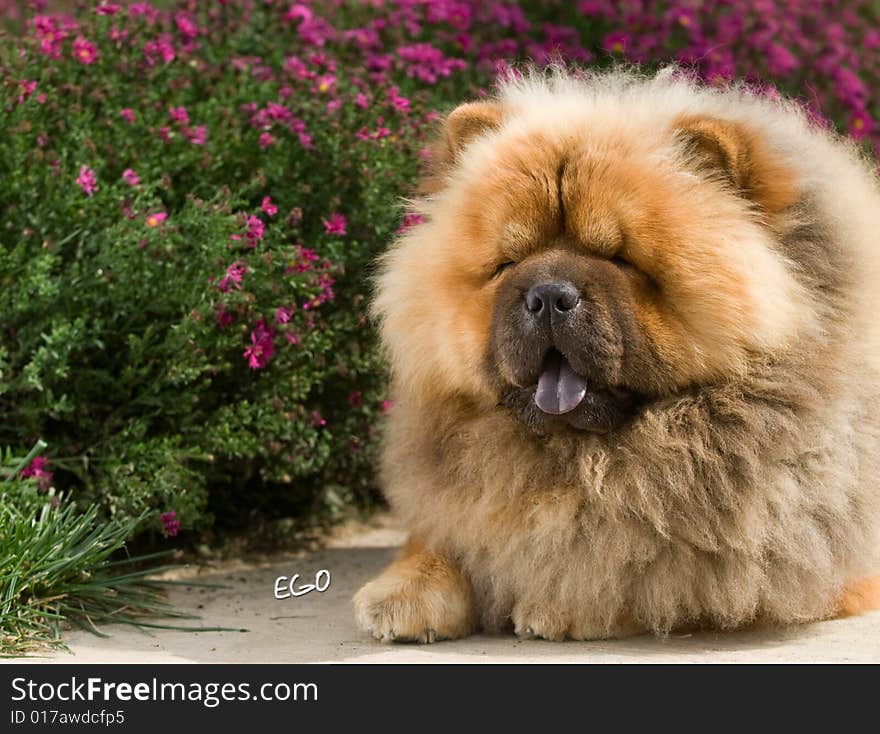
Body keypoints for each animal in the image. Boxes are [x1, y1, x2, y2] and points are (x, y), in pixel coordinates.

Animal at [352, 70, 880, 644]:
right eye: (508, 264)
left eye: (620, 259)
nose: (547, 295)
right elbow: (438, 539)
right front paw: (404, 593)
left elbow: (643, 571)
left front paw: (560, 606)